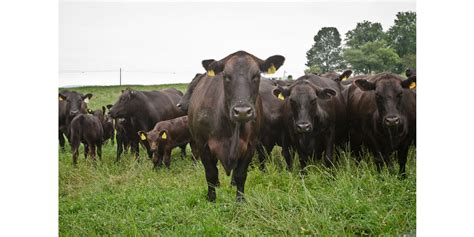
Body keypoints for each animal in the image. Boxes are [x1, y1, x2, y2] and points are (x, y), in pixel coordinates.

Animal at [188, 50, 286, 202]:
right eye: (226, 76)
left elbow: (241, 174)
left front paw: (240, 200)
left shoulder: (251, 145)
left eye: (256, 76)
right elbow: (210, 173)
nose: (242, 111)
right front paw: (211, 198)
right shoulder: (202, 143)